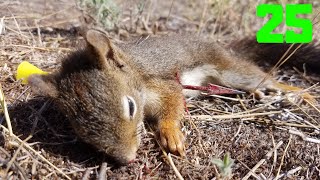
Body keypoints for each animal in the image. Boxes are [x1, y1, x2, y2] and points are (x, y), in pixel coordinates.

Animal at [27, 29, 318, 165]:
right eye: (81, 130)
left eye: (130, 107)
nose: (128, 159)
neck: (135, 70)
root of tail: (221, 45)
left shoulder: (163, 85)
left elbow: (173, 104)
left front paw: (170, 134)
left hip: (231, 71)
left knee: (264, 77)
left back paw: (300, 95)